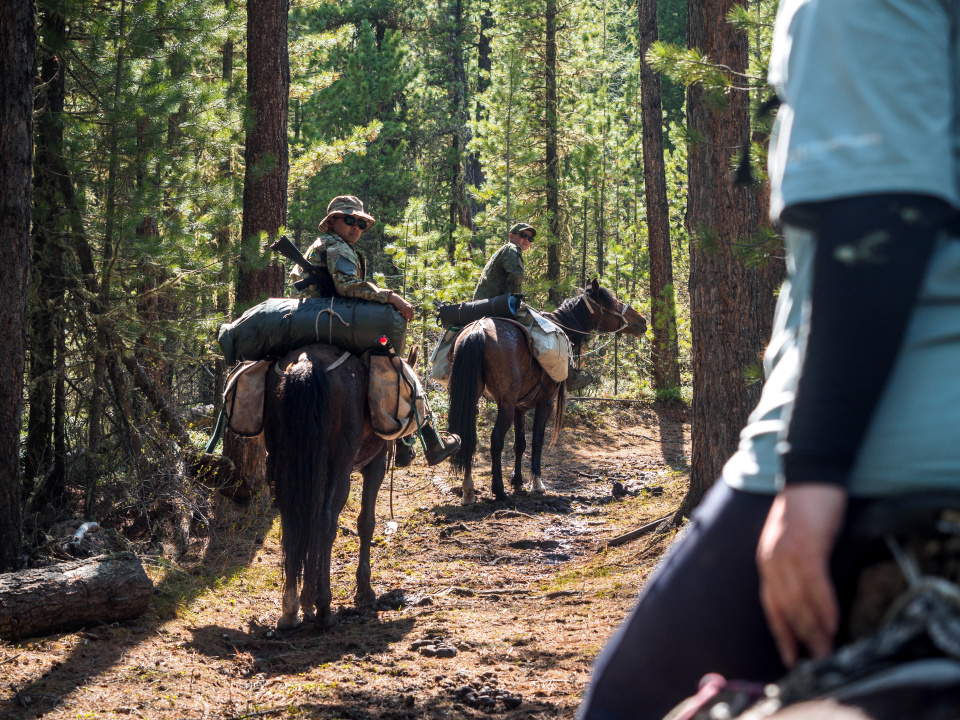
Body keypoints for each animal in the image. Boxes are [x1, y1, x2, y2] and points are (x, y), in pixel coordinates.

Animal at [262, 344, 390, 632]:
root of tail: (306, 364)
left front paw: (304, 602)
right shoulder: (376, 464)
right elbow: (366, 522)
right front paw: (364, 590)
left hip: (285, 462)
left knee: (291, 522)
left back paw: (290, 611)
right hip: (339, 469)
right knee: (326, 523)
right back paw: (324, 608)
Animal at [448, 278, 644, 504]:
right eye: (612, 302)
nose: (642, 320)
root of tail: (477, 330)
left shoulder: (520, 407)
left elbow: (520, 443)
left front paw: (518, 481)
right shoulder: (545, 402)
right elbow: (537, 440)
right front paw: (537, 483)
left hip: (473, 400)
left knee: (467, 438)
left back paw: (468, 491)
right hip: (505, 404)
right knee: (496, 439)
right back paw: (498, 489)